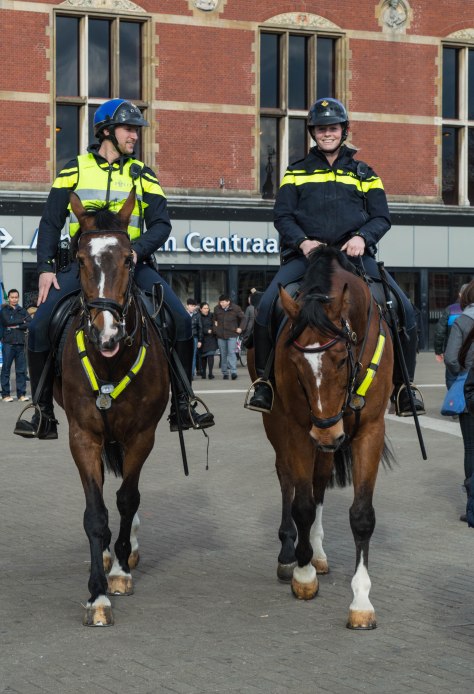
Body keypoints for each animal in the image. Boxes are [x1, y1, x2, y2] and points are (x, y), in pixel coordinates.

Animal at [54, 190, 170, 626]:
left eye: (128, 260)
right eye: (81, 260)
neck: (110, 364)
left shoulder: (141, 435)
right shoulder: (82, 435)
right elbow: (96, 512)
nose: (107, 334)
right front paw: (98, 593)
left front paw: (119, 572)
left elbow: (126, 500)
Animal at [249, 246, 394, 629]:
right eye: (295, 363)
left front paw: (361, 602)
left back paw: (317, 552)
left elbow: (361, 515)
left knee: (319, 483)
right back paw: (292, 555)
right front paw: (303, 576)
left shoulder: (370, 429)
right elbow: (300, 503)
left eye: (342, 358)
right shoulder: (298, 428)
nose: (327, 429)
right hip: (280, 425)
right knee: (289, 480)